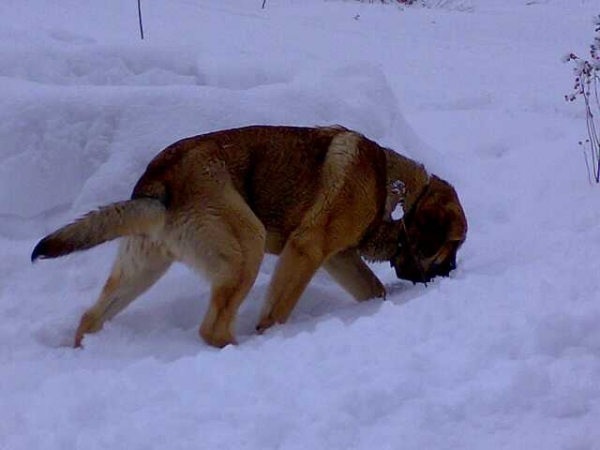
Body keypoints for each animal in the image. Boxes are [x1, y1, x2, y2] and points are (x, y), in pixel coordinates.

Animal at [30, 125, 466, 348]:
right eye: (450, 249)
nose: (451, 276)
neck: (391, 188)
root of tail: (160, 180)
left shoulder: (337, 257)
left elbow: (374, 289)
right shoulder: (307, 249)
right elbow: (276, 312)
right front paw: (272, 335)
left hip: (142, 270)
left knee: (90, 318)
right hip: (248, 247)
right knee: (212, 329)